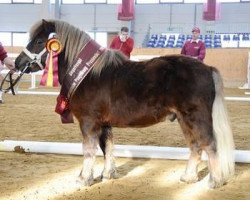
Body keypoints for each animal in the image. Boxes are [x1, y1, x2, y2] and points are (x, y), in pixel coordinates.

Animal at [15, 19, 234, 189]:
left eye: (40, 41)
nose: (18, 63)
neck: (87, 74)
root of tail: (207, 69)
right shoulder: (103, 124)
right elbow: (107, 147)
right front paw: (107, 174)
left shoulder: (88, 122)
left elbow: (89, 150)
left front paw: (84, 179)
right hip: (183, 118)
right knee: (195, 146)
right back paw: (188, 177)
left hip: (196, 117)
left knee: (209, 144)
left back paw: (214, 181)